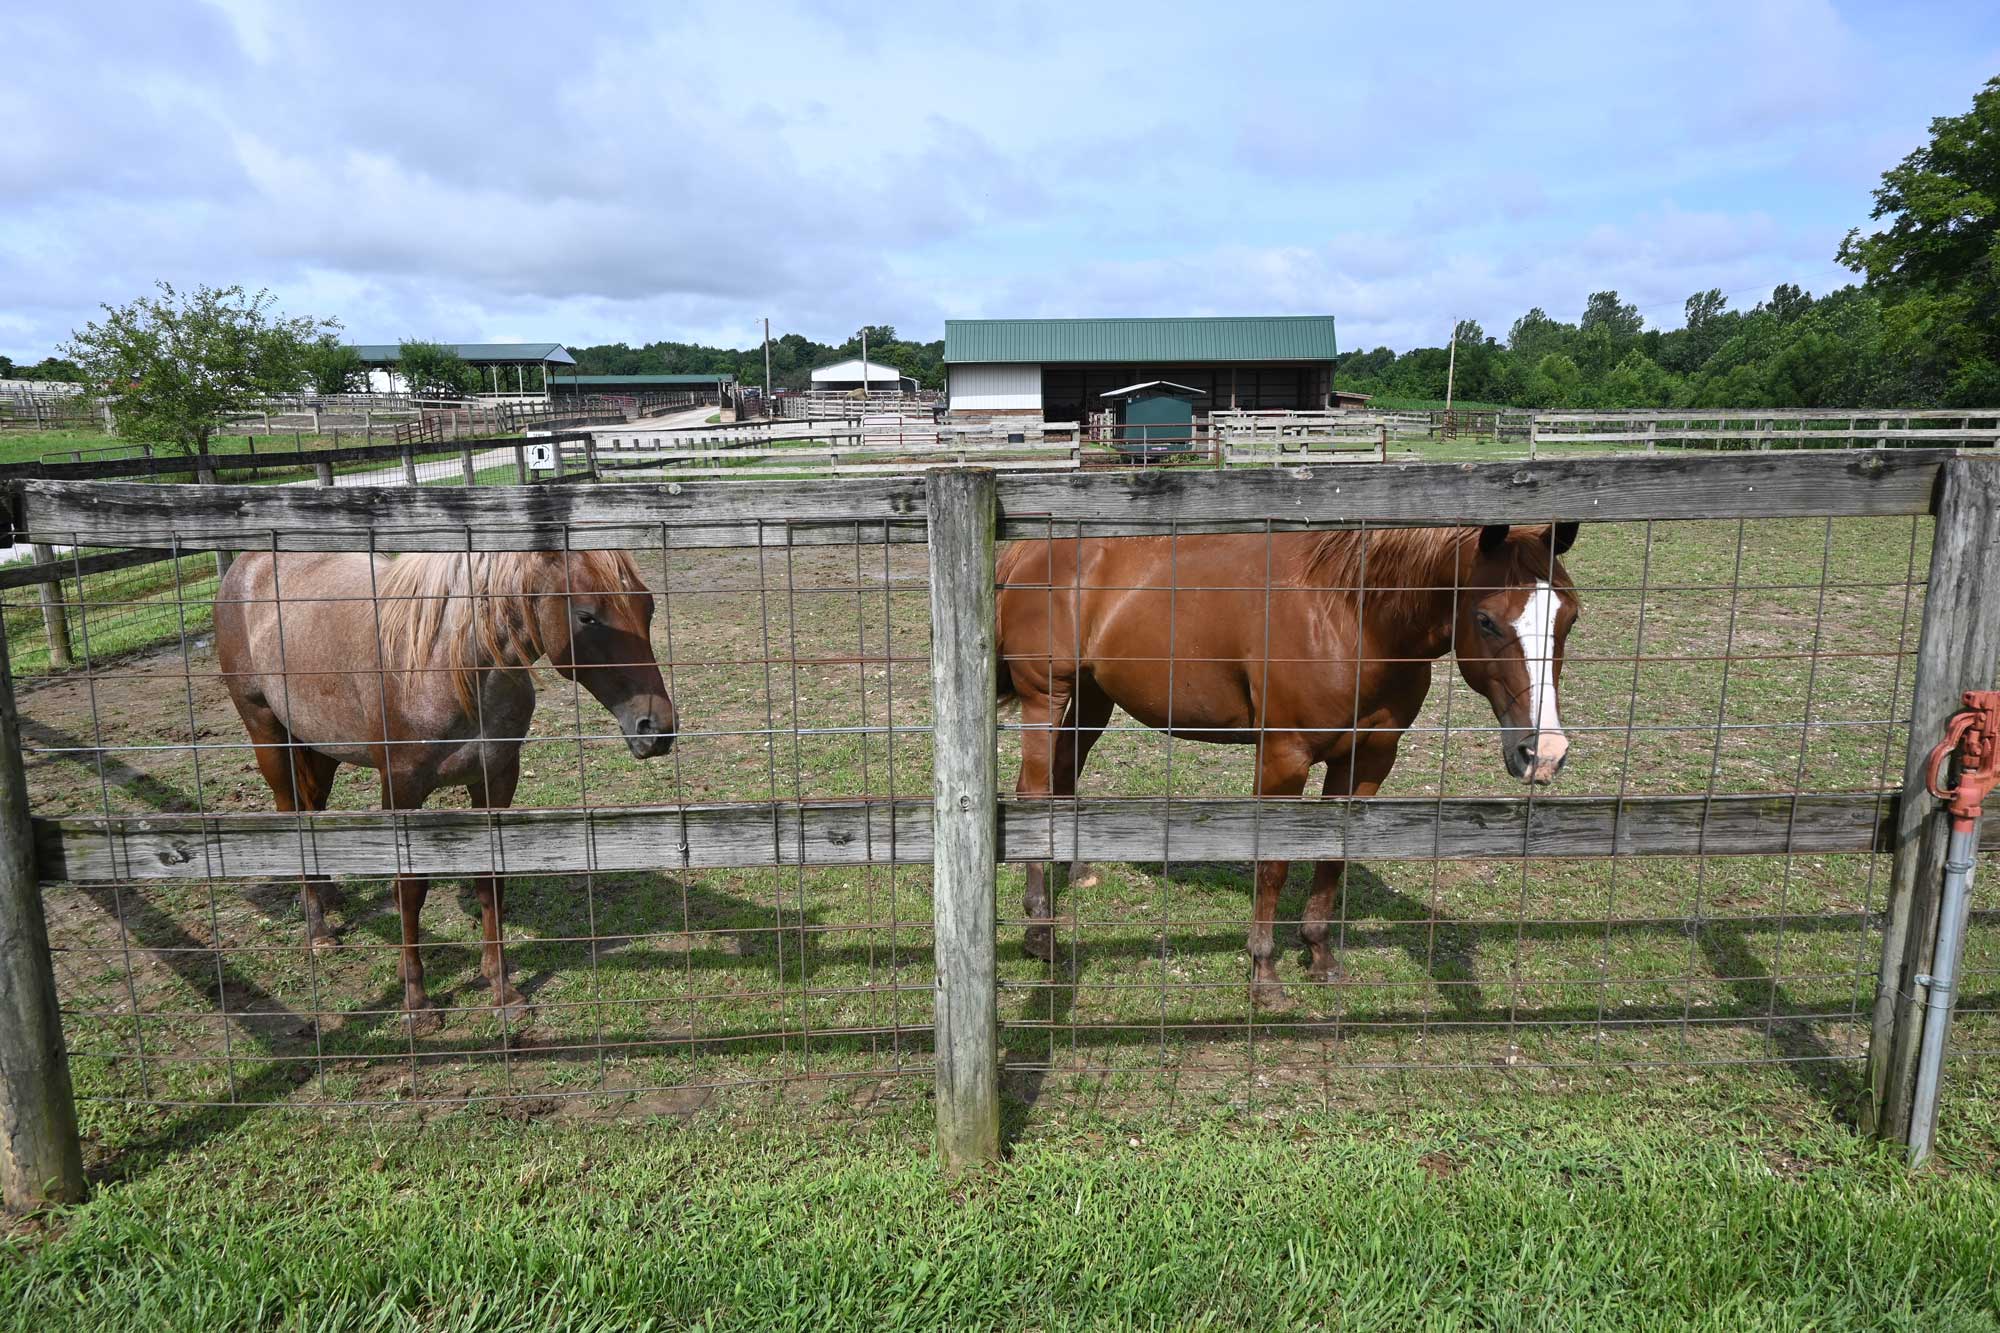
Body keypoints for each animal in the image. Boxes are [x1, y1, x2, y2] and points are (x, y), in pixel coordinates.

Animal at [214, 549, 676, 1030]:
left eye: (648, 606)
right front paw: (417, 1001)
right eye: (586, 616)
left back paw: (329, 894)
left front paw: (502, 989)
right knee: (292, 815)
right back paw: (319, 932)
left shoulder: (496, 781)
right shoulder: (402, 791)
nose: (656, 728)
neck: (450, 665)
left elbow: (490, 882)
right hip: (268, 734)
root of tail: (247, 565)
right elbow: (410, 891)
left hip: (319, 746)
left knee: (313, 809)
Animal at [995, 521, 1580, 1008]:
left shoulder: (1369, 757)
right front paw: (1265, 976)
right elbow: (1273, 864)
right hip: (1044, 696)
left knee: (1064, 776)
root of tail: (1031, 548)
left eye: (1569, 616)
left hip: (1093, 697)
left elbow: (1333, 857)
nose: (1543, 752)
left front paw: (1319, 956)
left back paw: (1076, 872)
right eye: (1485, 619)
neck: (1350, 618)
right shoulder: (1283, 758)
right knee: (1034, 793)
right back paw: (1041, 931)